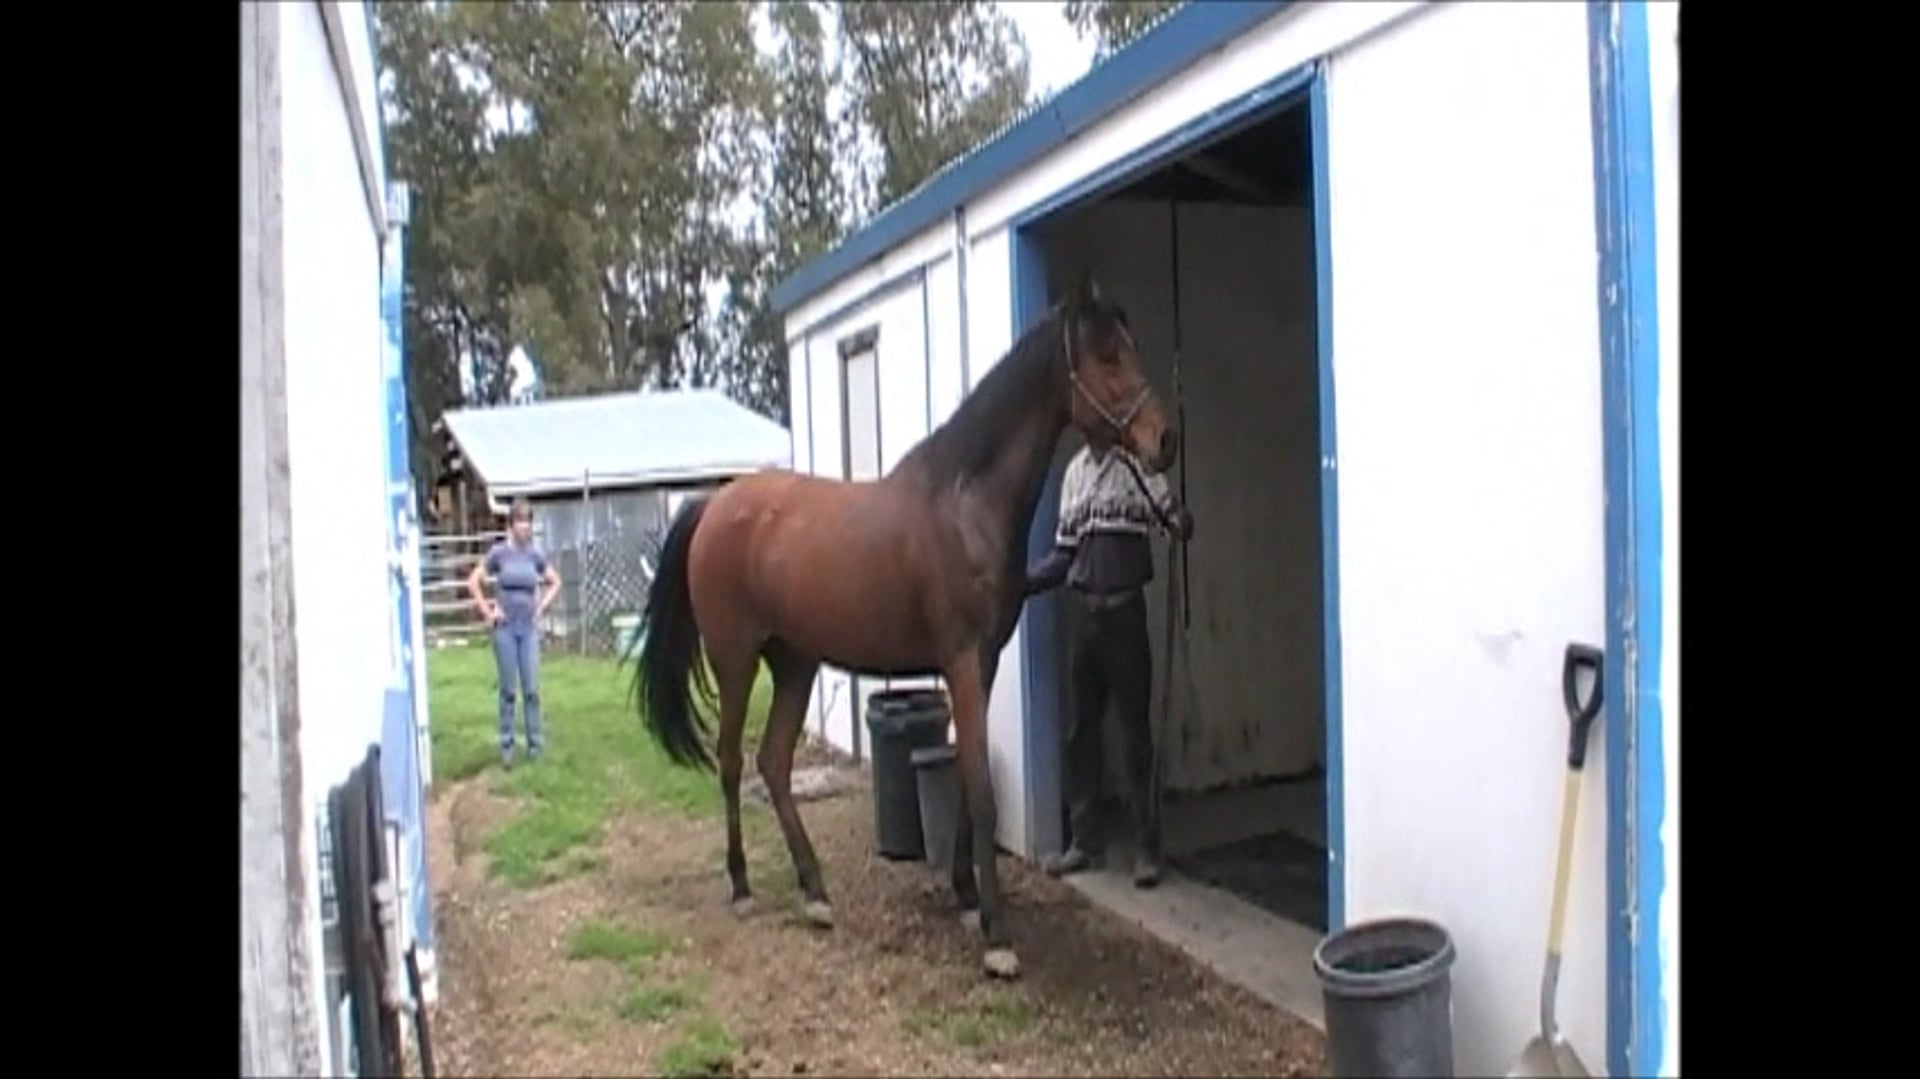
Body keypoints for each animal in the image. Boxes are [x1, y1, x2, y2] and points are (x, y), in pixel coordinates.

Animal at [632, 273, 1177, 980]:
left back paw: (815, 893)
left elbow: (969, 775)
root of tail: (716, 504)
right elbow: (979, 787)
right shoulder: (962, 662)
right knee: (731, 762)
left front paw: (967, 896)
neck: (964, 501)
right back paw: (744, 885)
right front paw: (997, 935)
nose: (1165, 440)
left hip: (795, 663)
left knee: (773, 763)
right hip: (736, 660)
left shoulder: (983, 663)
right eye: (1108, 356)